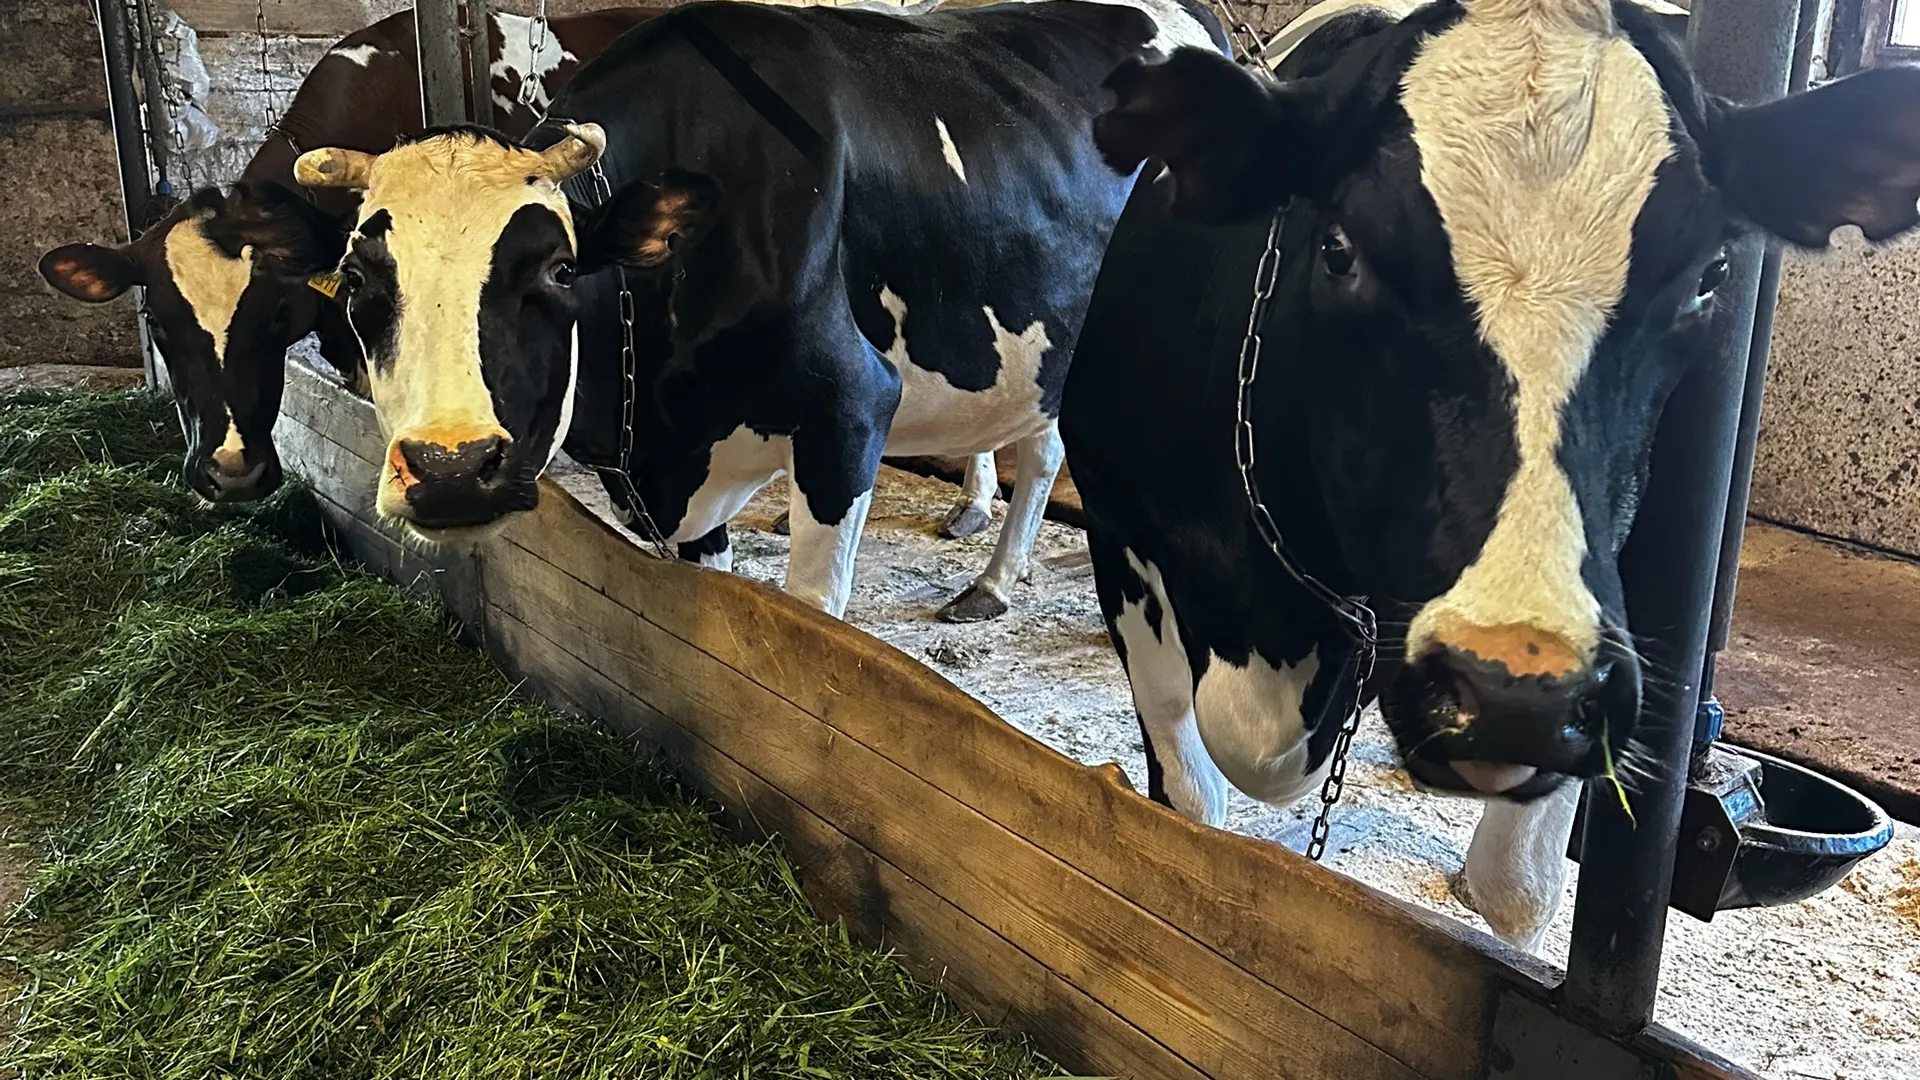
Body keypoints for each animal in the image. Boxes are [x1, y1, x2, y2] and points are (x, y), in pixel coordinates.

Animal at [1059, 0, 1920, 950]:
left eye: (1712, 274)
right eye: (1338, 248)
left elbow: (1519, 889)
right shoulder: (1115, 517)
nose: (1513, 694)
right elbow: (1189, 792)